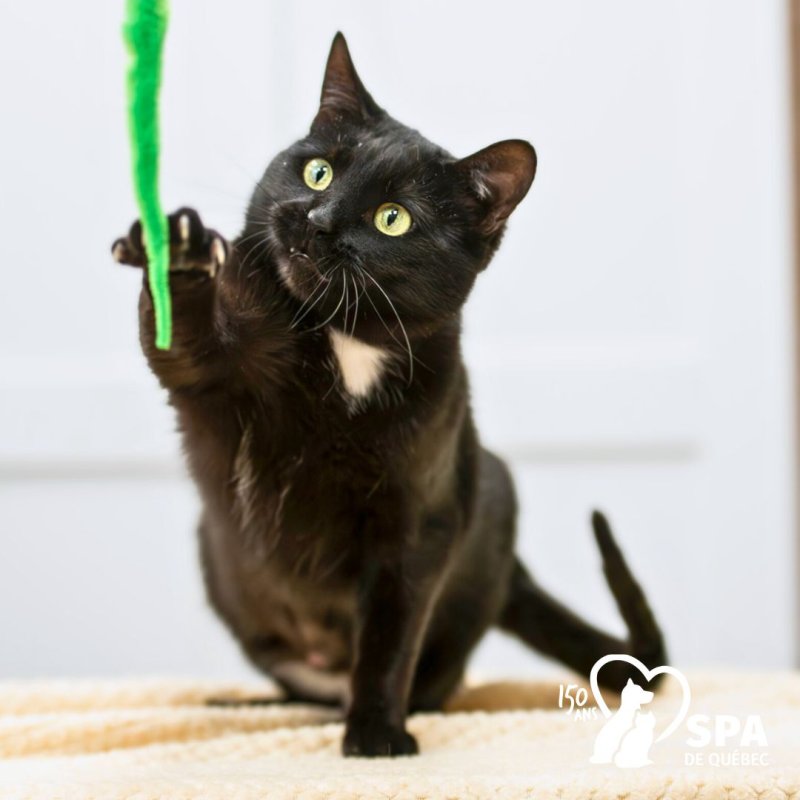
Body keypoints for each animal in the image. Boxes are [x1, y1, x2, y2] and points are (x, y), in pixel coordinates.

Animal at [112, 33, 666, 757]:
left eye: (392, 218)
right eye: (318, 172)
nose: (317, 220)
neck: (344, 346)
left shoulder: (418, 524)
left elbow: (389, 637)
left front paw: (376, 737)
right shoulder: (207, 372)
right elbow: (182, 337)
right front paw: (177, 248)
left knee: (416, 681)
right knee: (306, 686)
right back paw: (250, 702)